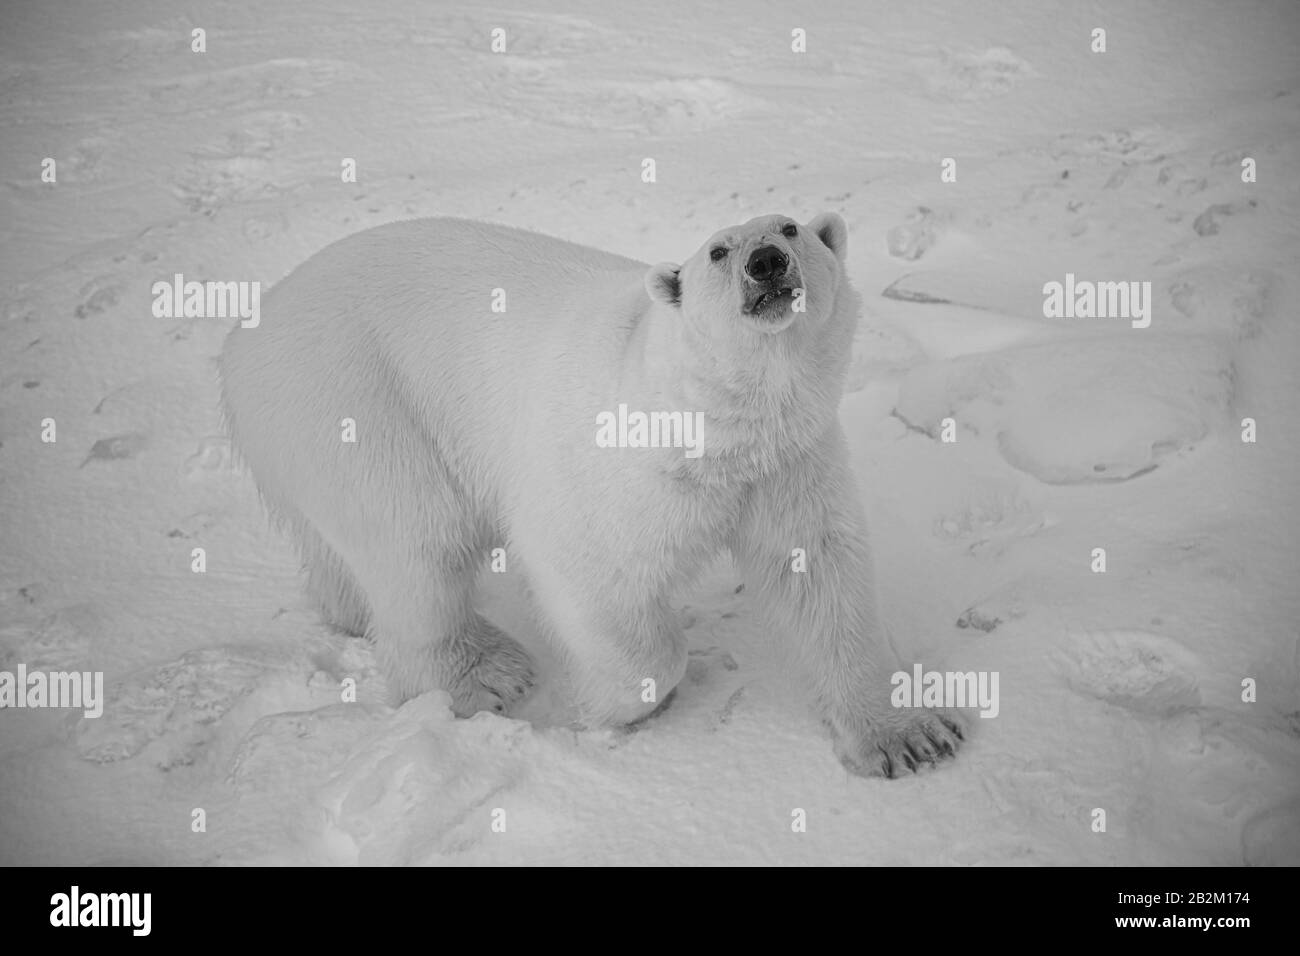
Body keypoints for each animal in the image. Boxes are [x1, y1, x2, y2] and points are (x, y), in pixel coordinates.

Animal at [218, 213, 964, 778]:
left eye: (789, 227)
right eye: (718, 251)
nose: (768, 262)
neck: (708, 423)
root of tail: (247, 331)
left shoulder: (788, 464)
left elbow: (824, 575)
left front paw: (910, 737)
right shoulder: (621, 467)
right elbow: (593, 573)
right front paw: (606, 708)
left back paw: (352, 612)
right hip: (355, 393)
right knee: (417, 538)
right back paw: (487, 675)